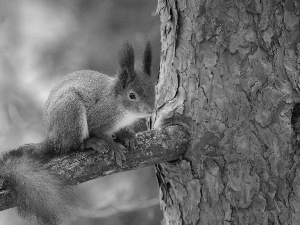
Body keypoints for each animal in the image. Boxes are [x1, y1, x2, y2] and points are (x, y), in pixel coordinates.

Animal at [0, 41, 155, 224]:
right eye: (132, 95)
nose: (151, 110)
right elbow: (101, 132)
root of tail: (53, 139)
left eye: (153, 89)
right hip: (71, 112)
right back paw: (90, 143)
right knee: (71, 147)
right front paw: (113, 146)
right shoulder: (99, 116)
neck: (122, 109)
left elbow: (122, 131)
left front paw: (128, 136)